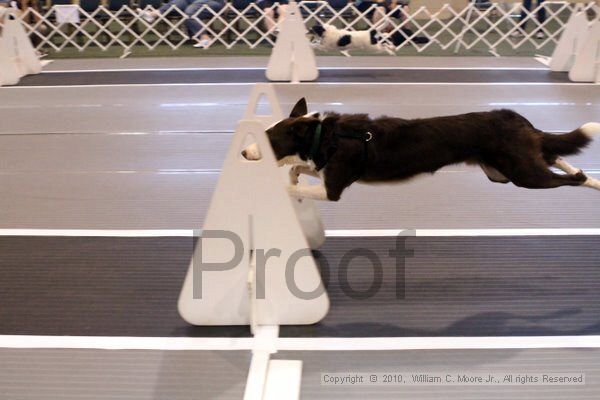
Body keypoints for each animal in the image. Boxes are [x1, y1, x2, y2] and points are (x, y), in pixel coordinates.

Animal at [243, 98, 600, 202]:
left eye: (268, 139)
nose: (244, 154)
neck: (324, 136)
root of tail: (517, 118)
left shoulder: (334, 188)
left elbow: (295, 183)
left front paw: (290, 190)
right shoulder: (323, 167)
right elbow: (297, 167)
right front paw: (294, 179)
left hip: (523, 174)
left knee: (571, 177)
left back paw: (586, 179)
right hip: (506, 170)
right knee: (554, 153)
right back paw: (593, 179)